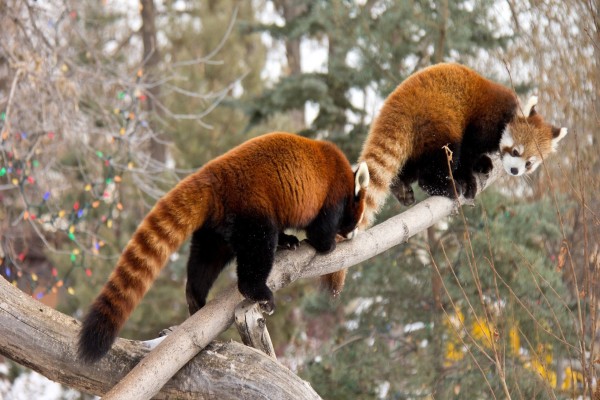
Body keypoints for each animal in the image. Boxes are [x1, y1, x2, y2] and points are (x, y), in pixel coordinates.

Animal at [78, 133, 370, 364]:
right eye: (355, 218)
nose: (354, 232)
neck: (345, 175)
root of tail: (212, 174)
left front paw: (290, 239)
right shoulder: (331, 195)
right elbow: (320, 231)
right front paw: (327, 243)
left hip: (216, 226)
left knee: (204, 262)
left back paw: (196, 297)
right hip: (251, 209)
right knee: (256, 251)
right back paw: (258, 291)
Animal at [324, 62, 568, 294]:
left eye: (529, 163)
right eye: (516, 151)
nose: (515, 171)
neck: (507, 113)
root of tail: (398, 102)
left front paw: (484, 163)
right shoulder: (484, 121)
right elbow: (467, 152)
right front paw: (469, 179)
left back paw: (401, 187)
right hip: (438, 120)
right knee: (439, 161)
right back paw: (447, 186)